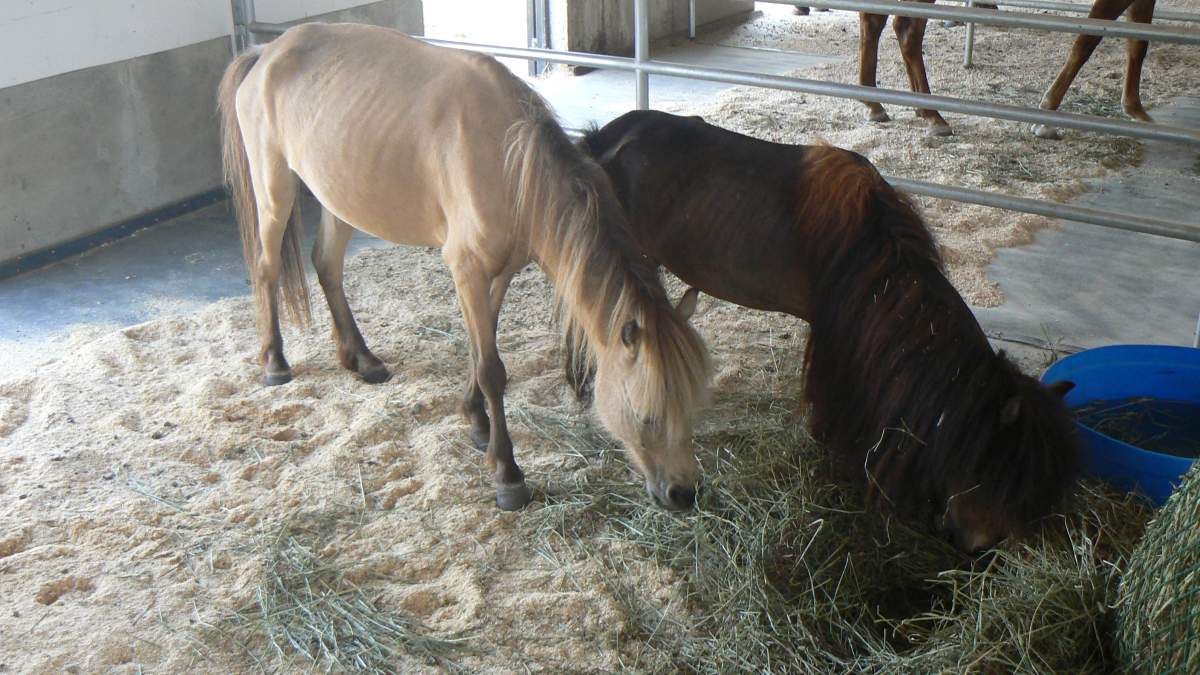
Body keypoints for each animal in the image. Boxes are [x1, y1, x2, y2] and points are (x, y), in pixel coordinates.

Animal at [217, 24, 711, 512]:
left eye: (691, 406)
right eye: (647, 416)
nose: (683, 494)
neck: (509, 161)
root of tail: (266, 51)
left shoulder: (500, 273)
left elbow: (481, 347)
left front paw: (476, 422)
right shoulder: (467, 270)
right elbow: (492, 367)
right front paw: (508, 474)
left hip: (337, 197)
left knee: (327, 265)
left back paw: (363, 359)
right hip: (274, 189)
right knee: (267, 269)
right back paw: (275, 362)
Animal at [854, 0, 1157, 137]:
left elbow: (1138, 42)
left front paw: (1135, 108)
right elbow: (1087, 41)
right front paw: (1047, 114)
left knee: (883, 23)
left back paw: (885, 104)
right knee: (906, 30)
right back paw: (929, 114)